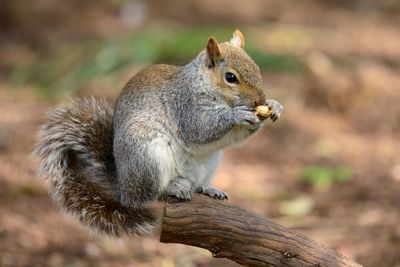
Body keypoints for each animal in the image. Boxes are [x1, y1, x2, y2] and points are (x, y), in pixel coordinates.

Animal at [35, 30, 284, 238]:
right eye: (230, 77)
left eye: (257, 67)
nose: (259, 100)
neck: (203, 85)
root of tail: (122, 185)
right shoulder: (185, 105)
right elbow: (200, 129)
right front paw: (237, 115)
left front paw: (274, 106)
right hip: (147, 156)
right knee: (146, 197)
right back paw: (172, 188)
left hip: (208, 164)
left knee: (195, 185)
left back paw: (207, 189)